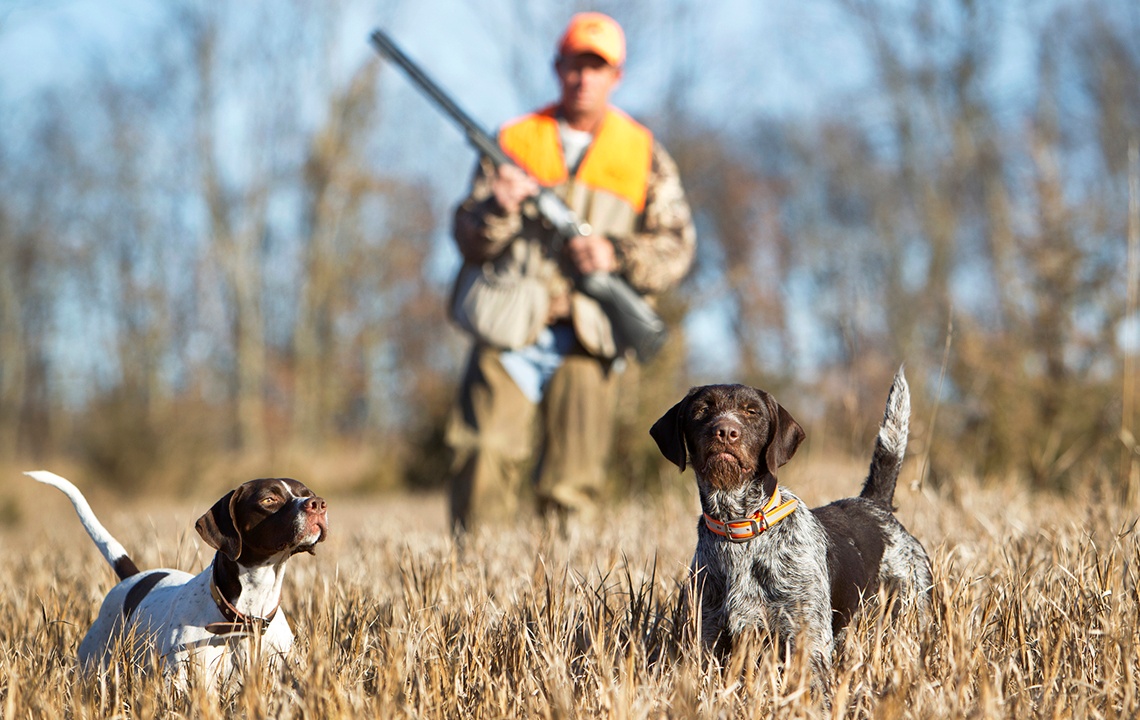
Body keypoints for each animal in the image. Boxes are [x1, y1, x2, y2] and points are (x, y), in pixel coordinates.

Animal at [26, 469, 328, 683]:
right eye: (269, 499)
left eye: (307, 492)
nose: (318, 504)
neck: (244, 615)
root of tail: (133, 578)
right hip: (93, 667)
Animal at [652, 369, 934, 692]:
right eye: (702, 409)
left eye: (752, 412)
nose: (725, 432)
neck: (740, 531)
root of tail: (875, 504)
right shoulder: (709, 639)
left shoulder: (806, 641)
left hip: (911, 610)